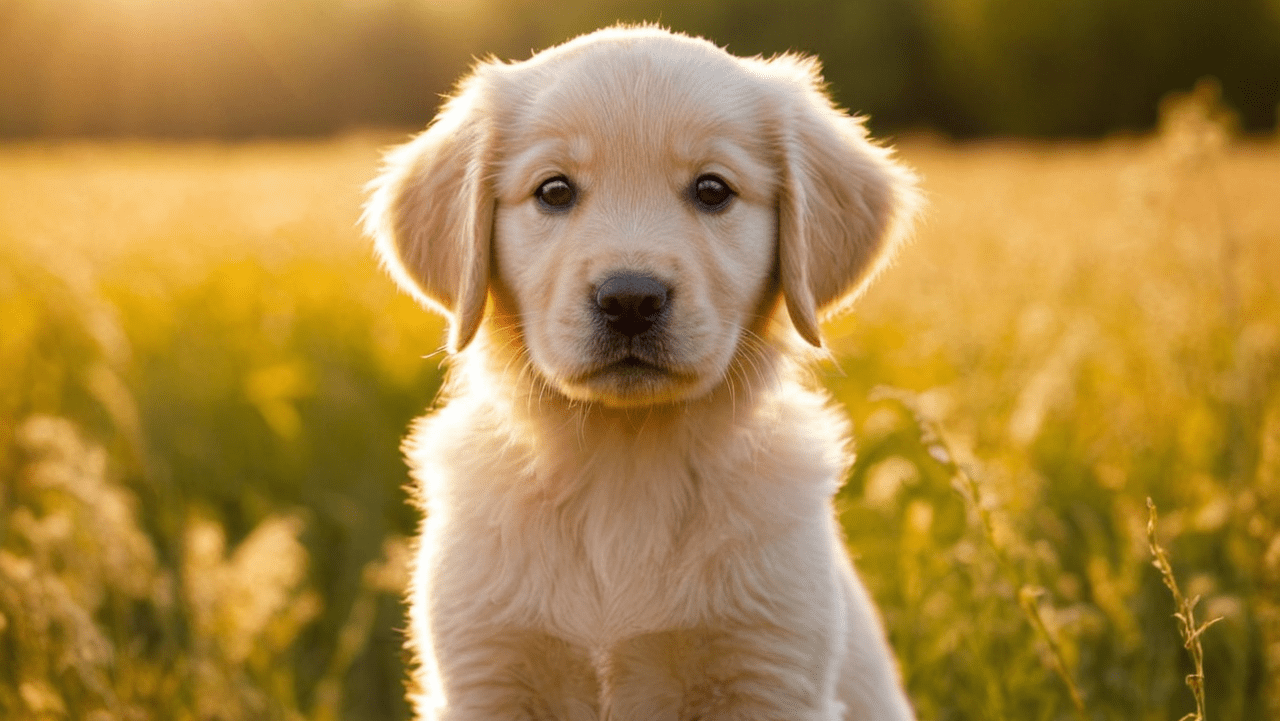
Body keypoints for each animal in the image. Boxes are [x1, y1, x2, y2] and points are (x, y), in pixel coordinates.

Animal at [366, 24, 916, 721]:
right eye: (554, 191)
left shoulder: (769, 671)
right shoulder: (485, 672)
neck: (625, 462)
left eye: (713, 190)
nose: (630, 299)